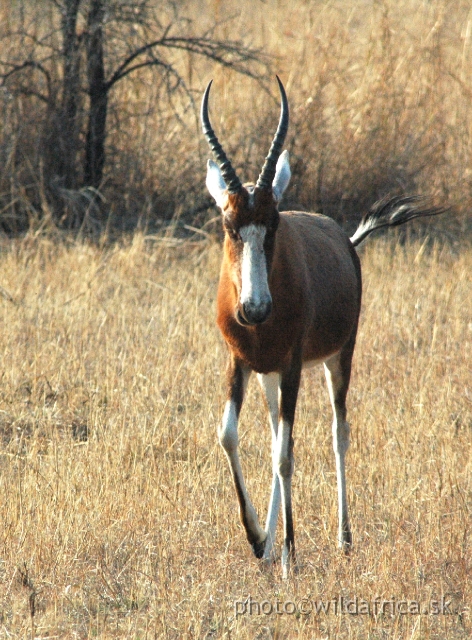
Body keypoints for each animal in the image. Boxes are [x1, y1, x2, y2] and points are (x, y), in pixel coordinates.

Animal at [201, 76, 444, 580]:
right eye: (230, 224)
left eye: (272, 222)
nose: (255, 309)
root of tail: (346, 239)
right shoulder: (239, 362)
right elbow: (230, 435)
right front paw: (258, 540)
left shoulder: (294, 365)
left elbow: (286, 454)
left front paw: (289, 556)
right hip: (270, 376)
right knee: (277, 431)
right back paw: (271, 541)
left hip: (337, 360)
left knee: (337, 433)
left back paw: (343, 539)